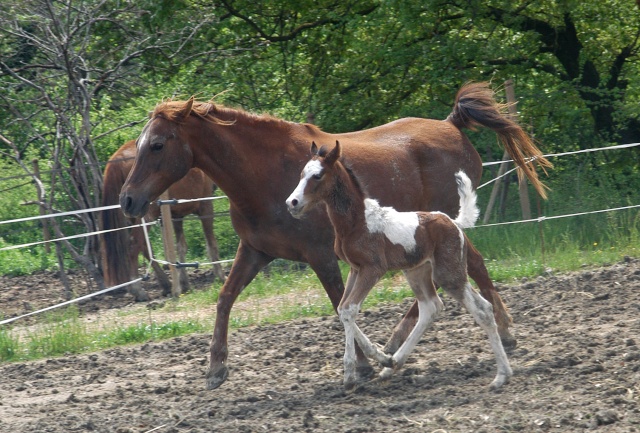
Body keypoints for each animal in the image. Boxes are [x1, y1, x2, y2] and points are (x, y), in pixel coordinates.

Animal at [100, 139, 228, 300]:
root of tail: (117, 157)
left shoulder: (177, 216)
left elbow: (181, 247)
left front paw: (184, 283)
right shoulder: (206, 205)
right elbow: (211, 244)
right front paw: (221, 276)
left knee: (144, 247)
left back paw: (165, 284)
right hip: (145, 215)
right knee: (134, 245)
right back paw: (138, 290)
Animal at [288, 141, 512, 388]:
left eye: (317, 176)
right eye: (301, 174)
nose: (292, 203)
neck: (357, 222)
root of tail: (453, 222)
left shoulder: (373, 269)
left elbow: (349, 309)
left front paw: (351, 373)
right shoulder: (355, 269)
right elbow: (342, 309)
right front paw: (381, 359)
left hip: (449, 274)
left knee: (481, 310)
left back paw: (501, 375)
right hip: (418, 272)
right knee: (432, 307)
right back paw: (393, 365)